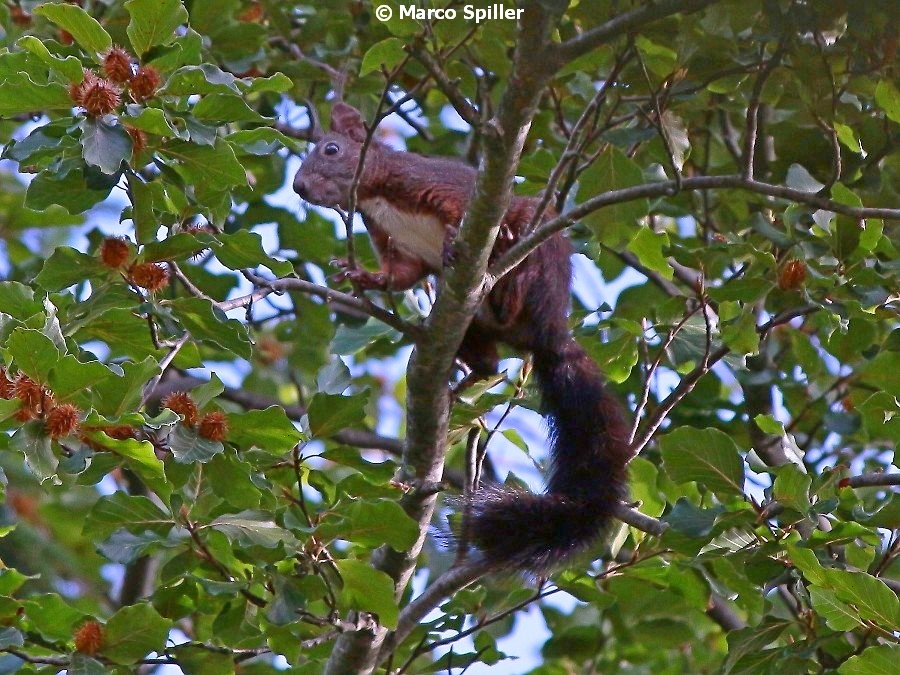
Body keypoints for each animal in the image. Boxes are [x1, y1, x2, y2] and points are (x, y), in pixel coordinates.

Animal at [296, 104, 632, 572]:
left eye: (331, 149)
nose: (298, 186)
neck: (375, 196)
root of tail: (549, 335)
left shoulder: (439, 184)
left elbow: (460, 208)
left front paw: (457, 238)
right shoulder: (393, 241)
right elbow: (402, 274)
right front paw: (363, 276)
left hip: (543, 260)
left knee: (526, 255)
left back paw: (510, 279)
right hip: (466, 319)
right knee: (489, 362)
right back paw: (463, 382)